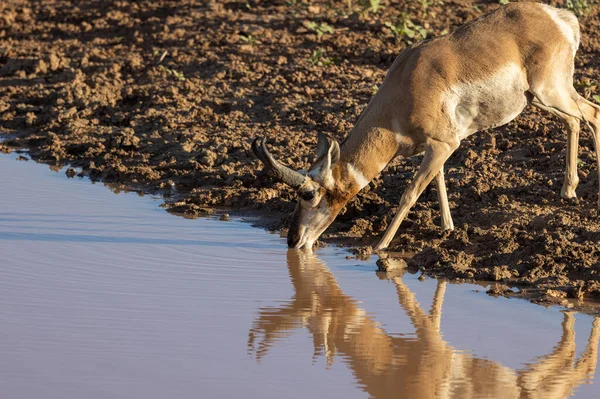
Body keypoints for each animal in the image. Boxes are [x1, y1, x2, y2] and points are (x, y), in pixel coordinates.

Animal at [253, 2, 600, 250]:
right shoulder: (437, 148)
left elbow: (410, 193)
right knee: (575, 119)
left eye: (308, 193)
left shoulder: (444, 144)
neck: (406, 82)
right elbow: (438, 182)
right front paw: (447, 228)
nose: (292, 241)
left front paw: (379, 247)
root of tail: (558, 17)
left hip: (549, 92)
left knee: (592, 112)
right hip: (540, 99)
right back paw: (569, 190)